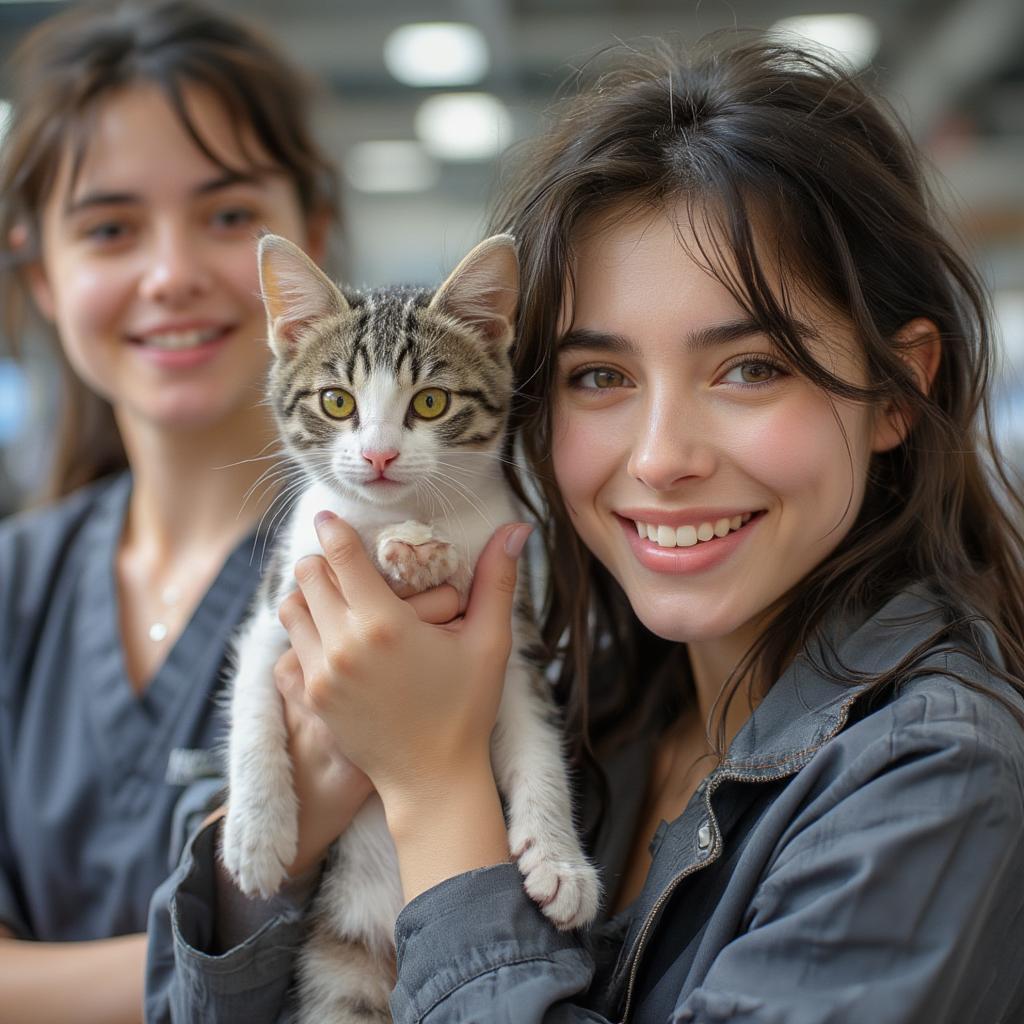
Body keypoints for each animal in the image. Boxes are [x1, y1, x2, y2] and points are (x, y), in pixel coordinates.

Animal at [218, 234, 598, 1024]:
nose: (380, 455)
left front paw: (562, 862)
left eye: (430, 402)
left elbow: (538, 745)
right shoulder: (278, 608)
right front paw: (257, 832)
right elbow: (252, 704)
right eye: (337, 402)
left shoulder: (513, 642)